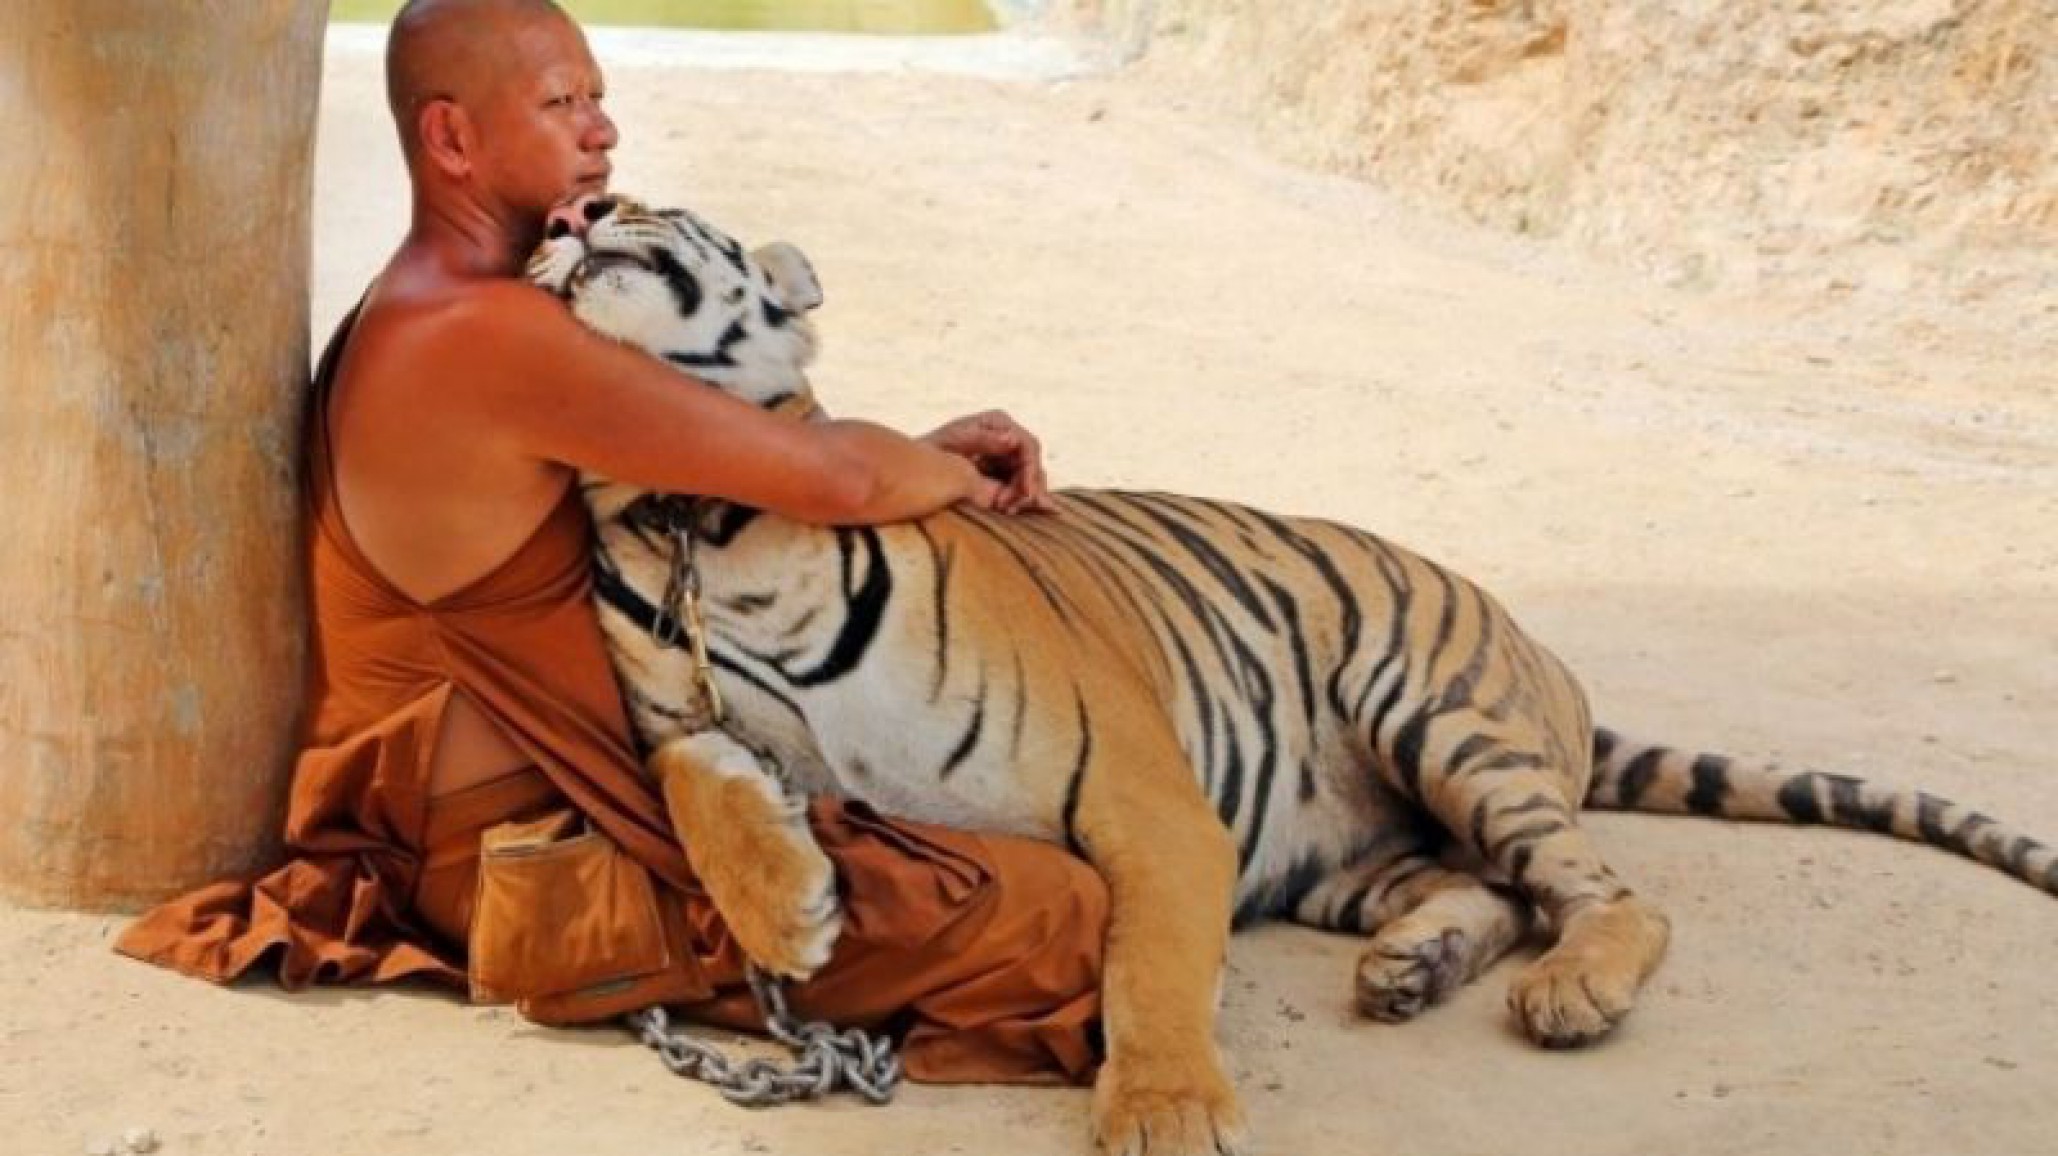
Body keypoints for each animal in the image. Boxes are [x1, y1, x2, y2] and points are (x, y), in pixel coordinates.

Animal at [526, 195, 2058, 1156]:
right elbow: (697, 774)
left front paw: (1163, 1112)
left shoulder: (1144, 796)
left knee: (1603, 892)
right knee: (1490, 890)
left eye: (650, 201)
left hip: (1436, 716)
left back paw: (1571, 993)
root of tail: (1545, 657)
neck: (695, 513)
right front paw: (789, 914)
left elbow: (1149, 965)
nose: (568, 221)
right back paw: (1413, 967)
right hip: (1339, 853)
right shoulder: (676, 711)